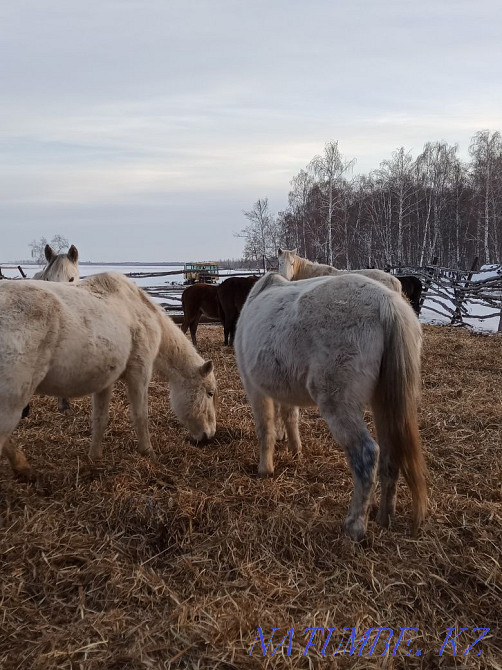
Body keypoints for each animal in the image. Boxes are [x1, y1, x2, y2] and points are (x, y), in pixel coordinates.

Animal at [0, 273, 217, 481]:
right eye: (210, 393)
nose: (209, 435)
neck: (140, 309)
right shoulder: (139, 373)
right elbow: (141, 416)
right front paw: (148, 453)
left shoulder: (106, 381)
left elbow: (100, 419)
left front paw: (94, 457)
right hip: (13, 400)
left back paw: (24, 469)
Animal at [234, 272, 426, 541]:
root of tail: (386, 303)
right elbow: (290, 415)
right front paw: (294, 448)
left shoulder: (254, 388)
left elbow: (265, 429)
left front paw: (265, 468)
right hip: (384, 405)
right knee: (390, 453)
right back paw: (384, 516)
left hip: (339, 406)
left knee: (367, 454)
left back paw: (355, 525)